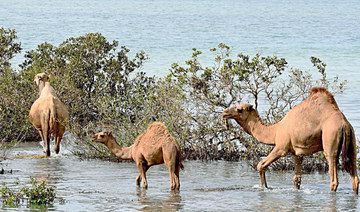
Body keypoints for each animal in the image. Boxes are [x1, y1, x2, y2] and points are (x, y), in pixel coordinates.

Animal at [221, 87, 358, 195]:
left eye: (239, 109)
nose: (224, 112)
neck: (275, 131)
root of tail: (344, 125)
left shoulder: (281, 147)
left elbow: (261, 165)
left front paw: (265, 188)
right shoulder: (297, 153)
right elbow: (296, 179)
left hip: (330, 139)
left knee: (333, 177)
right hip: (352, 141)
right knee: (355, 177)